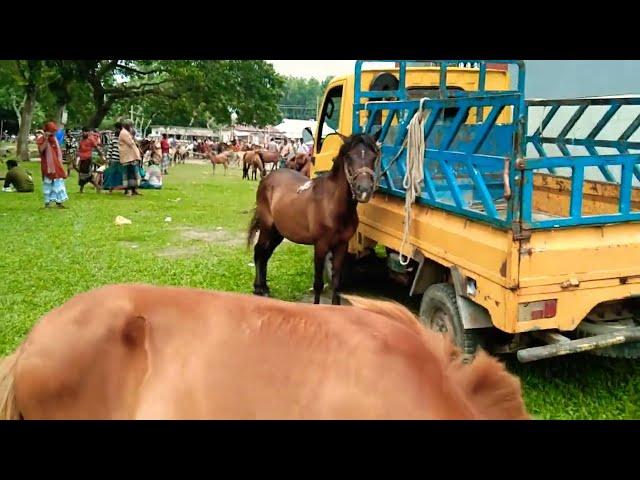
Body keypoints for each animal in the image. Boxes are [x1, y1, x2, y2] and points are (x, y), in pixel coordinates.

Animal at [248, 132, 380, 304]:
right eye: (349, 156)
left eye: (374, 156)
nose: (363, 190)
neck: (332, 205)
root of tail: (267, 178)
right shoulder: (320, 246)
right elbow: (318, 284)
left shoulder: (341, 246)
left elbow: (336, 283)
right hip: (266, 227)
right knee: (259, 251)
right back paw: (258, 289)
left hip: (278, 232)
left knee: (266, 254)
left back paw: (264, 287)